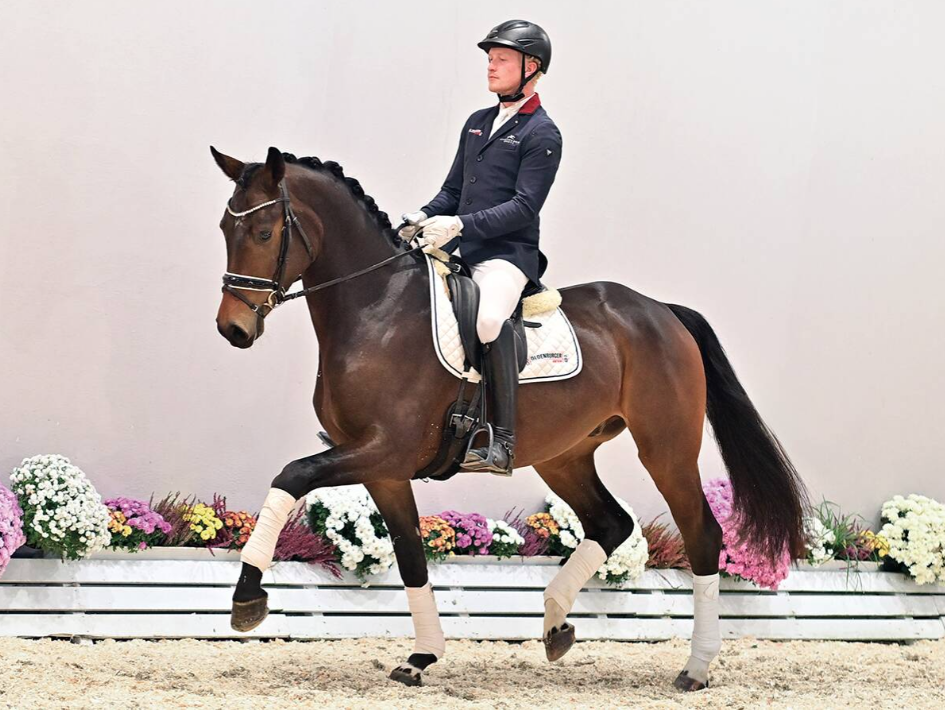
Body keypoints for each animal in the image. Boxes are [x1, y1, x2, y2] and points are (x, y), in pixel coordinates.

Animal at [210, 145, 810, 691]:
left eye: (263, 232)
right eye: (224, 227)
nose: (232, 329)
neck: (376, 307)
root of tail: (662, 311)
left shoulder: (384, 449)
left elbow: (291, 475)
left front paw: (247, 598)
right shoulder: (384, 469)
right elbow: (410, 556)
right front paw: (421, 657)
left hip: (666, 448)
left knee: (701, 535)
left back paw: (696, 668)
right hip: (564, 455)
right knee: (611, 523)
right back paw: (555, 625)